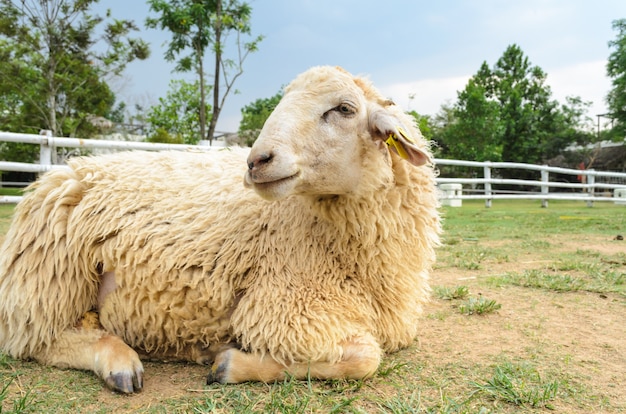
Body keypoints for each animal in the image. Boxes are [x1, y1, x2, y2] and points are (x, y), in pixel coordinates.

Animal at [0, 64, 438, 392]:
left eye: (344, 109)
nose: (257, 160)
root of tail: (66, 169)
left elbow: (368, 355)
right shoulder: (286, 306)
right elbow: (365, 358)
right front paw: (231, 363)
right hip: (49, 277)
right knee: (34, 339)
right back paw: (119, 362)